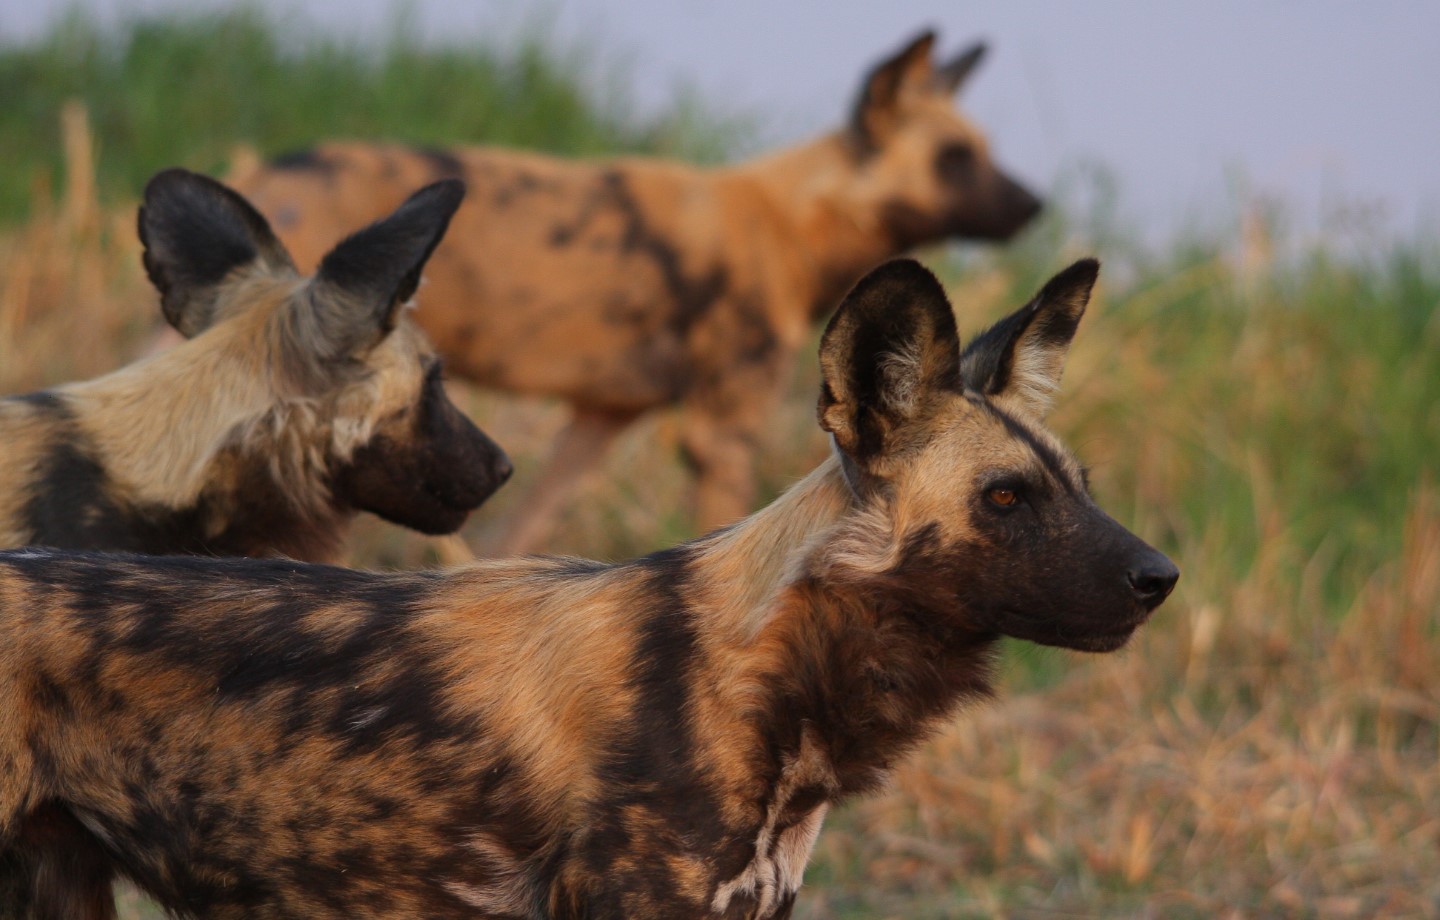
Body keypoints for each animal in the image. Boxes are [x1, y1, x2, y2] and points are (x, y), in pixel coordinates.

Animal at [233, 28, 1048, 552]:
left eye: (981, 151)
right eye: (952, 158)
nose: (1036, 204)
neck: (794, 222)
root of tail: (265, 170)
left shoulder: (602, 417)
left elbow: (517, 533)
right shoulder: (721, 433)